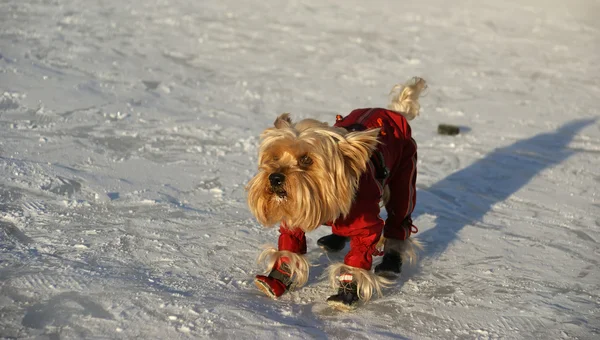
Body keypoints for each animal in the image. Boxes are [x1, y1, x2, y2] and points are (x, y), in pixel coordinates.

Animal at [245, 77, 426, 310]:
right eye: (275, 157)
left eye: (306, 159)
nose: (275, 178)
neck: (323, 196)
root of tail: (395, 112)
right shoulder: (294, 213)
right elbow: (289, 248)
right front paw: (276, 279)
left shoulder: (366, 226)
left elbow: (358, 257)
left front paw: (346, 293)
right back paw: (333, 240)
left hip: (405, 176)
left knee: (399, 220)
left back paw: (391, 263)